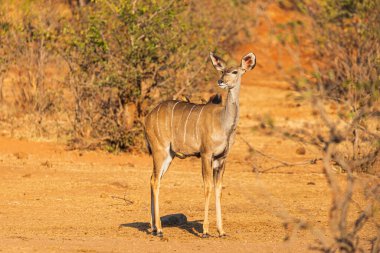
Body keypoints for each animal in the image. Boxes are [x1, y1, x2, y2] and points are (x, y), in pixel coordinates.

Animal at [144, 51, 256, 237]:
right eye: (222, 70)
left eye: (234, 72)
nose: (221, 81)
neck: (223, 123)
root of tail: (148, 117)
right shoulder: (205, 154)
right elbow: (207, 186)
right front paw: (205, 231)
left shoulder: (221, 158)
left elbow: (219, 188)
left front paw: (221, 231)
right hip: (160, 150)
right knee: (155, 180)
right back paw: (159, 229)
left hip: (169, 155)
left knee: (152, 178)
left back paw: (153, 227)